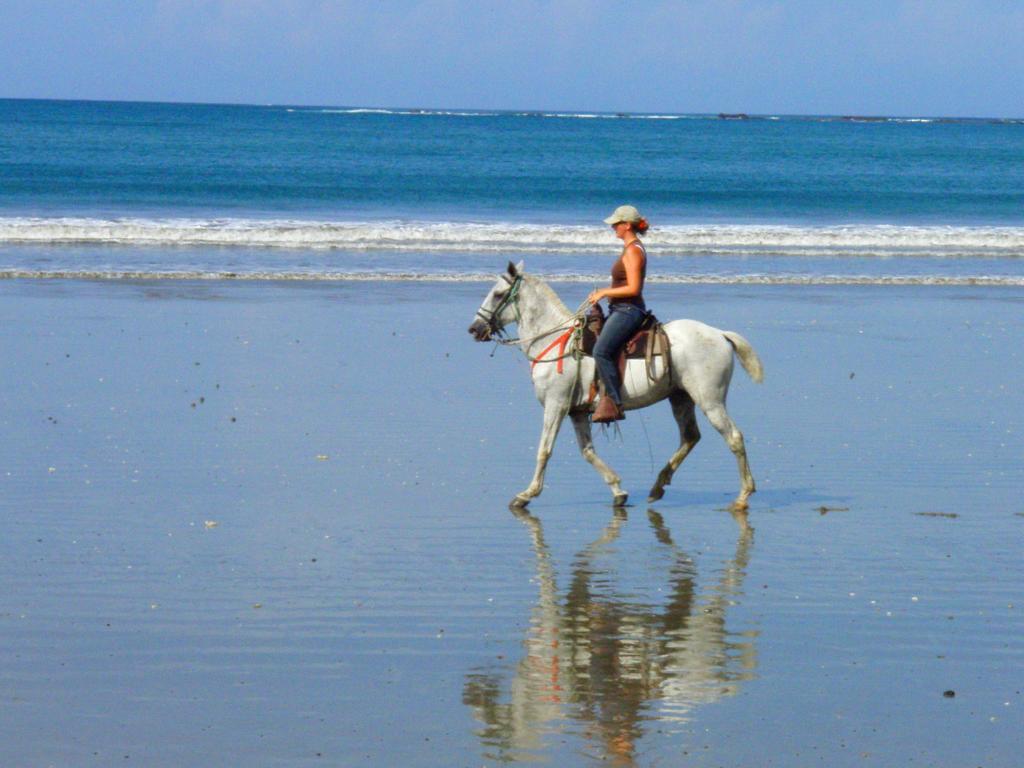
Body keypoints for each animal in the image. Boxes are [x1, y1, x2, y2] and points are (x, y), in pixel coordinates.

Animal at [468, 264, 765, 512]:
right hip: (680, 397)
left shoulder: (556, 405)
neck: (555, 341)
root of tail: (720, 334)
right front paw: (618, 490)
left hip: (709, 400)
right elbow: (587, 451)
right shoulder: (577, 412)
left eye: (497, 294)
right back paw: (658, 486)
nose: (474, 328)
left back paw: (742, 497)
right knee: (690, 437)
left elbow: (545, 450)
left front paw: (526, 495)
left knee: (733, 438)